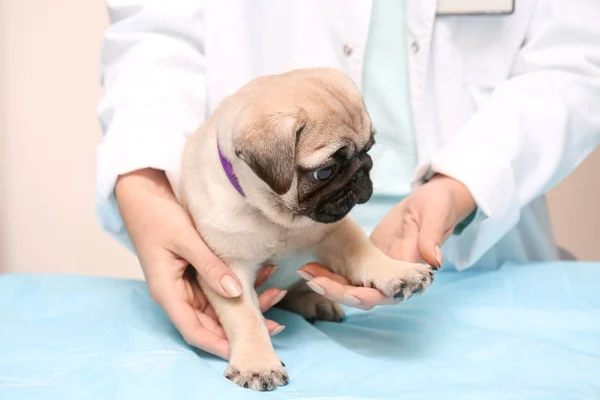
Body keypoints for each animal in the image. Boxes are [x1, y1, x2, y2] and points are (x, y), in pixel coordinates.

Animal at [180, 68, 434, 390]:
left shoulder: (335, 230)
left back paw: (315, 301)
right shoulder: (229, 270)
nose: (362, 169)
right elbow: (245, 318)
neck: (278, 218)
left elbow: (362, 251)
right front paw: (257, 365)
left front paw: (397, 272)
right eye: (324, 172)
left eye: (369, 148)